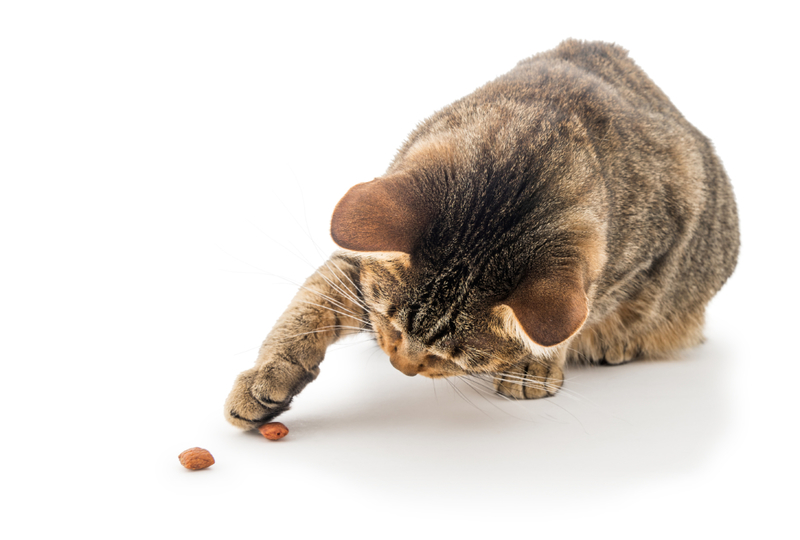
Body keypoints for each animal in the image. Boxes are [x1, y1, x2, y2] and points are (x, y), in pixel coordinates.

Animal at [223, 40, 736, 430]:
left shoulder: (646, 257)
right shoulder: (358, 265)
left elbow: (586, 309)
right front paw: (265, 377)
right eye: (392, 322)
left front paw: (537, 361)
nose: (401, 366)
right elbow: (306, 308)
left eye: (455, 356)